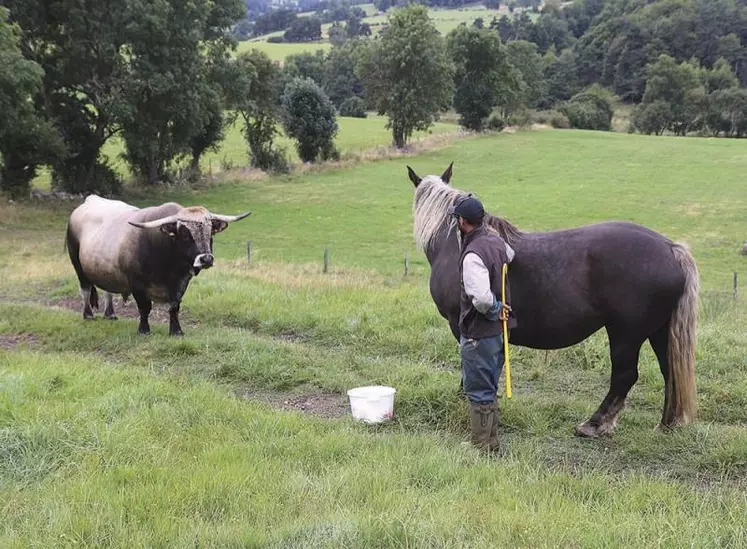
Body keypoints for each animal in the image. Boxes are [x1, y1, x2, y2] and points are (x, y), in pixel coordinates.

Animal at [65, 195, 251, 336]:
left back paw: (110, 313)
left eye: (210, 233)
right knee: (85, 289)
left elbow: (174, 307)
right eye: (185, 235)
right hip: (77, 264)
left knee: (107, 291)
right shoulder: (137, 284)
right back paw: (88, 315)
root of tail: (89, 201)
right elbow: (144, 308)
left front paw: (176, 331)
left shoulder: (181, 283)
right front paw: (144, 330)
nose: (205, 259)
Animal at [406, 163, 700, 436]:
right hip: (659, 331)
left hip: (626, 334)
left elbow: (470, 366)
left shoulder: (460, 326)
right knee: (669, 371)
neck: (456, 244)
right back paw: (667, 423)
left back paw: (595, 424)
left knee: (624, 376)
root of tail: (671, 248)